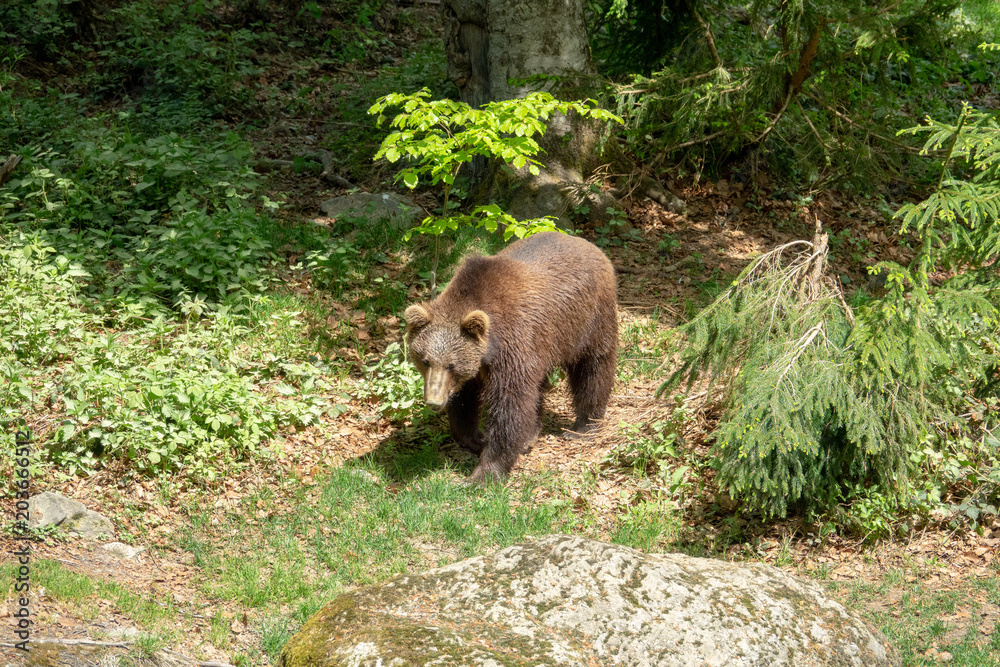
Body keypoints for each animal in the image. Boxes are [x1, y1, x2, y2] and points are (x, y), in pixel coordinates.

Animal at [402, 234, 612, 486]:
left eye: (451, 365)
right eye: (424, 360)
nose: (434, 401)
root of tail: (586, 243)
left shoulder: (514, 345)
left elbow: (510, 405)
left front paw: (483, 473)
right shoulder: (481, 365)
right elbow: (466, 400)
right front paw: (475, 438)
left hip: (588, 319)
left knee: (594, 366)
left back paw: (584, 426)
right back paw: (532, 434)